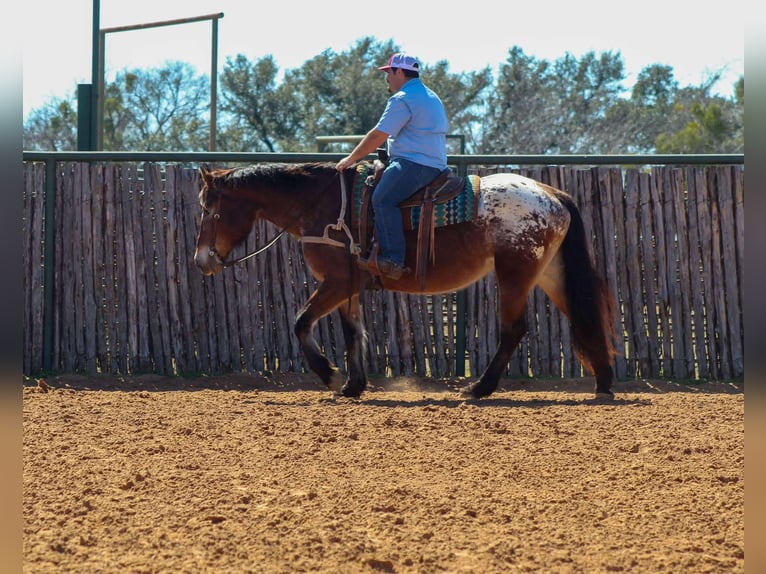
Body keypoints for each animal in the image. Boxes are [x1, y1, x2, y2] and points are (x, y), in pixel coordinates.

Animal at [194, 162, 617, 399]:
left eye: (209, 210)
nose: (201, 261)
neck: (323, 207)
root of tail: (550, 193)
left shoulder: (334, 282)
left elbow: (300, 323)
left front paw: (330, 376)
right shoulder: (349, 287)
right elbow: (353, 333)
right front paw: (353, 385)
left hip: (514, 274)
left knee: (513, 330)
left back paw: (479, 388)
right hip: (549, 273)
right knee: (583, 317)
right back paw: (604, 382)